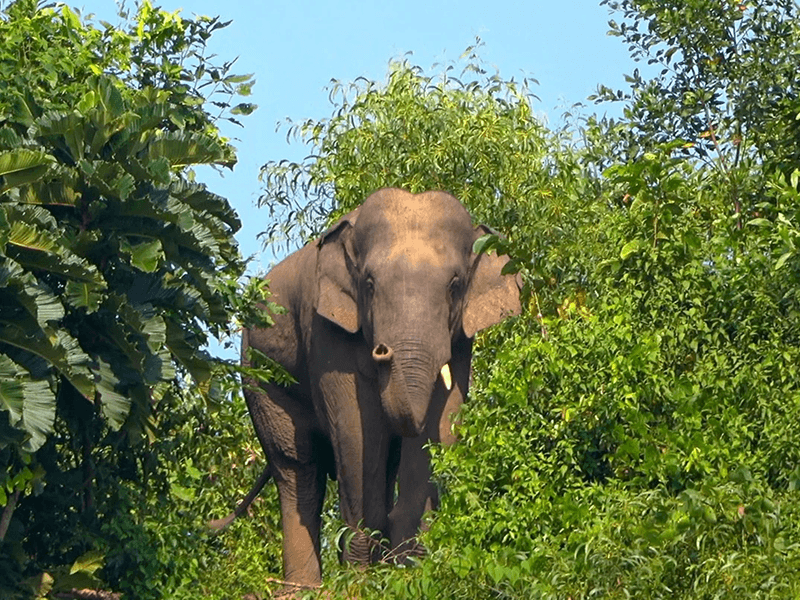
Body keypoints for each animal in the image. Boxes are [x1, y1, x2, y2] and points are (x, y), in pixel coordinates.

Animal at [236, 188, 521, 587]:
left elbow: (442, 425)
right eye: (369, 284)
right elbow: (357, 432)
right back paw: (304, 588)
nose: (383, 350)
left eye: (455, 286)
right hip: (259, 373)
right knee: (297, 467)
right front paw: (361, 578)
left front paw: (411, 567)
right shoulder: (326, 333)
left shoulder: (461, 339)